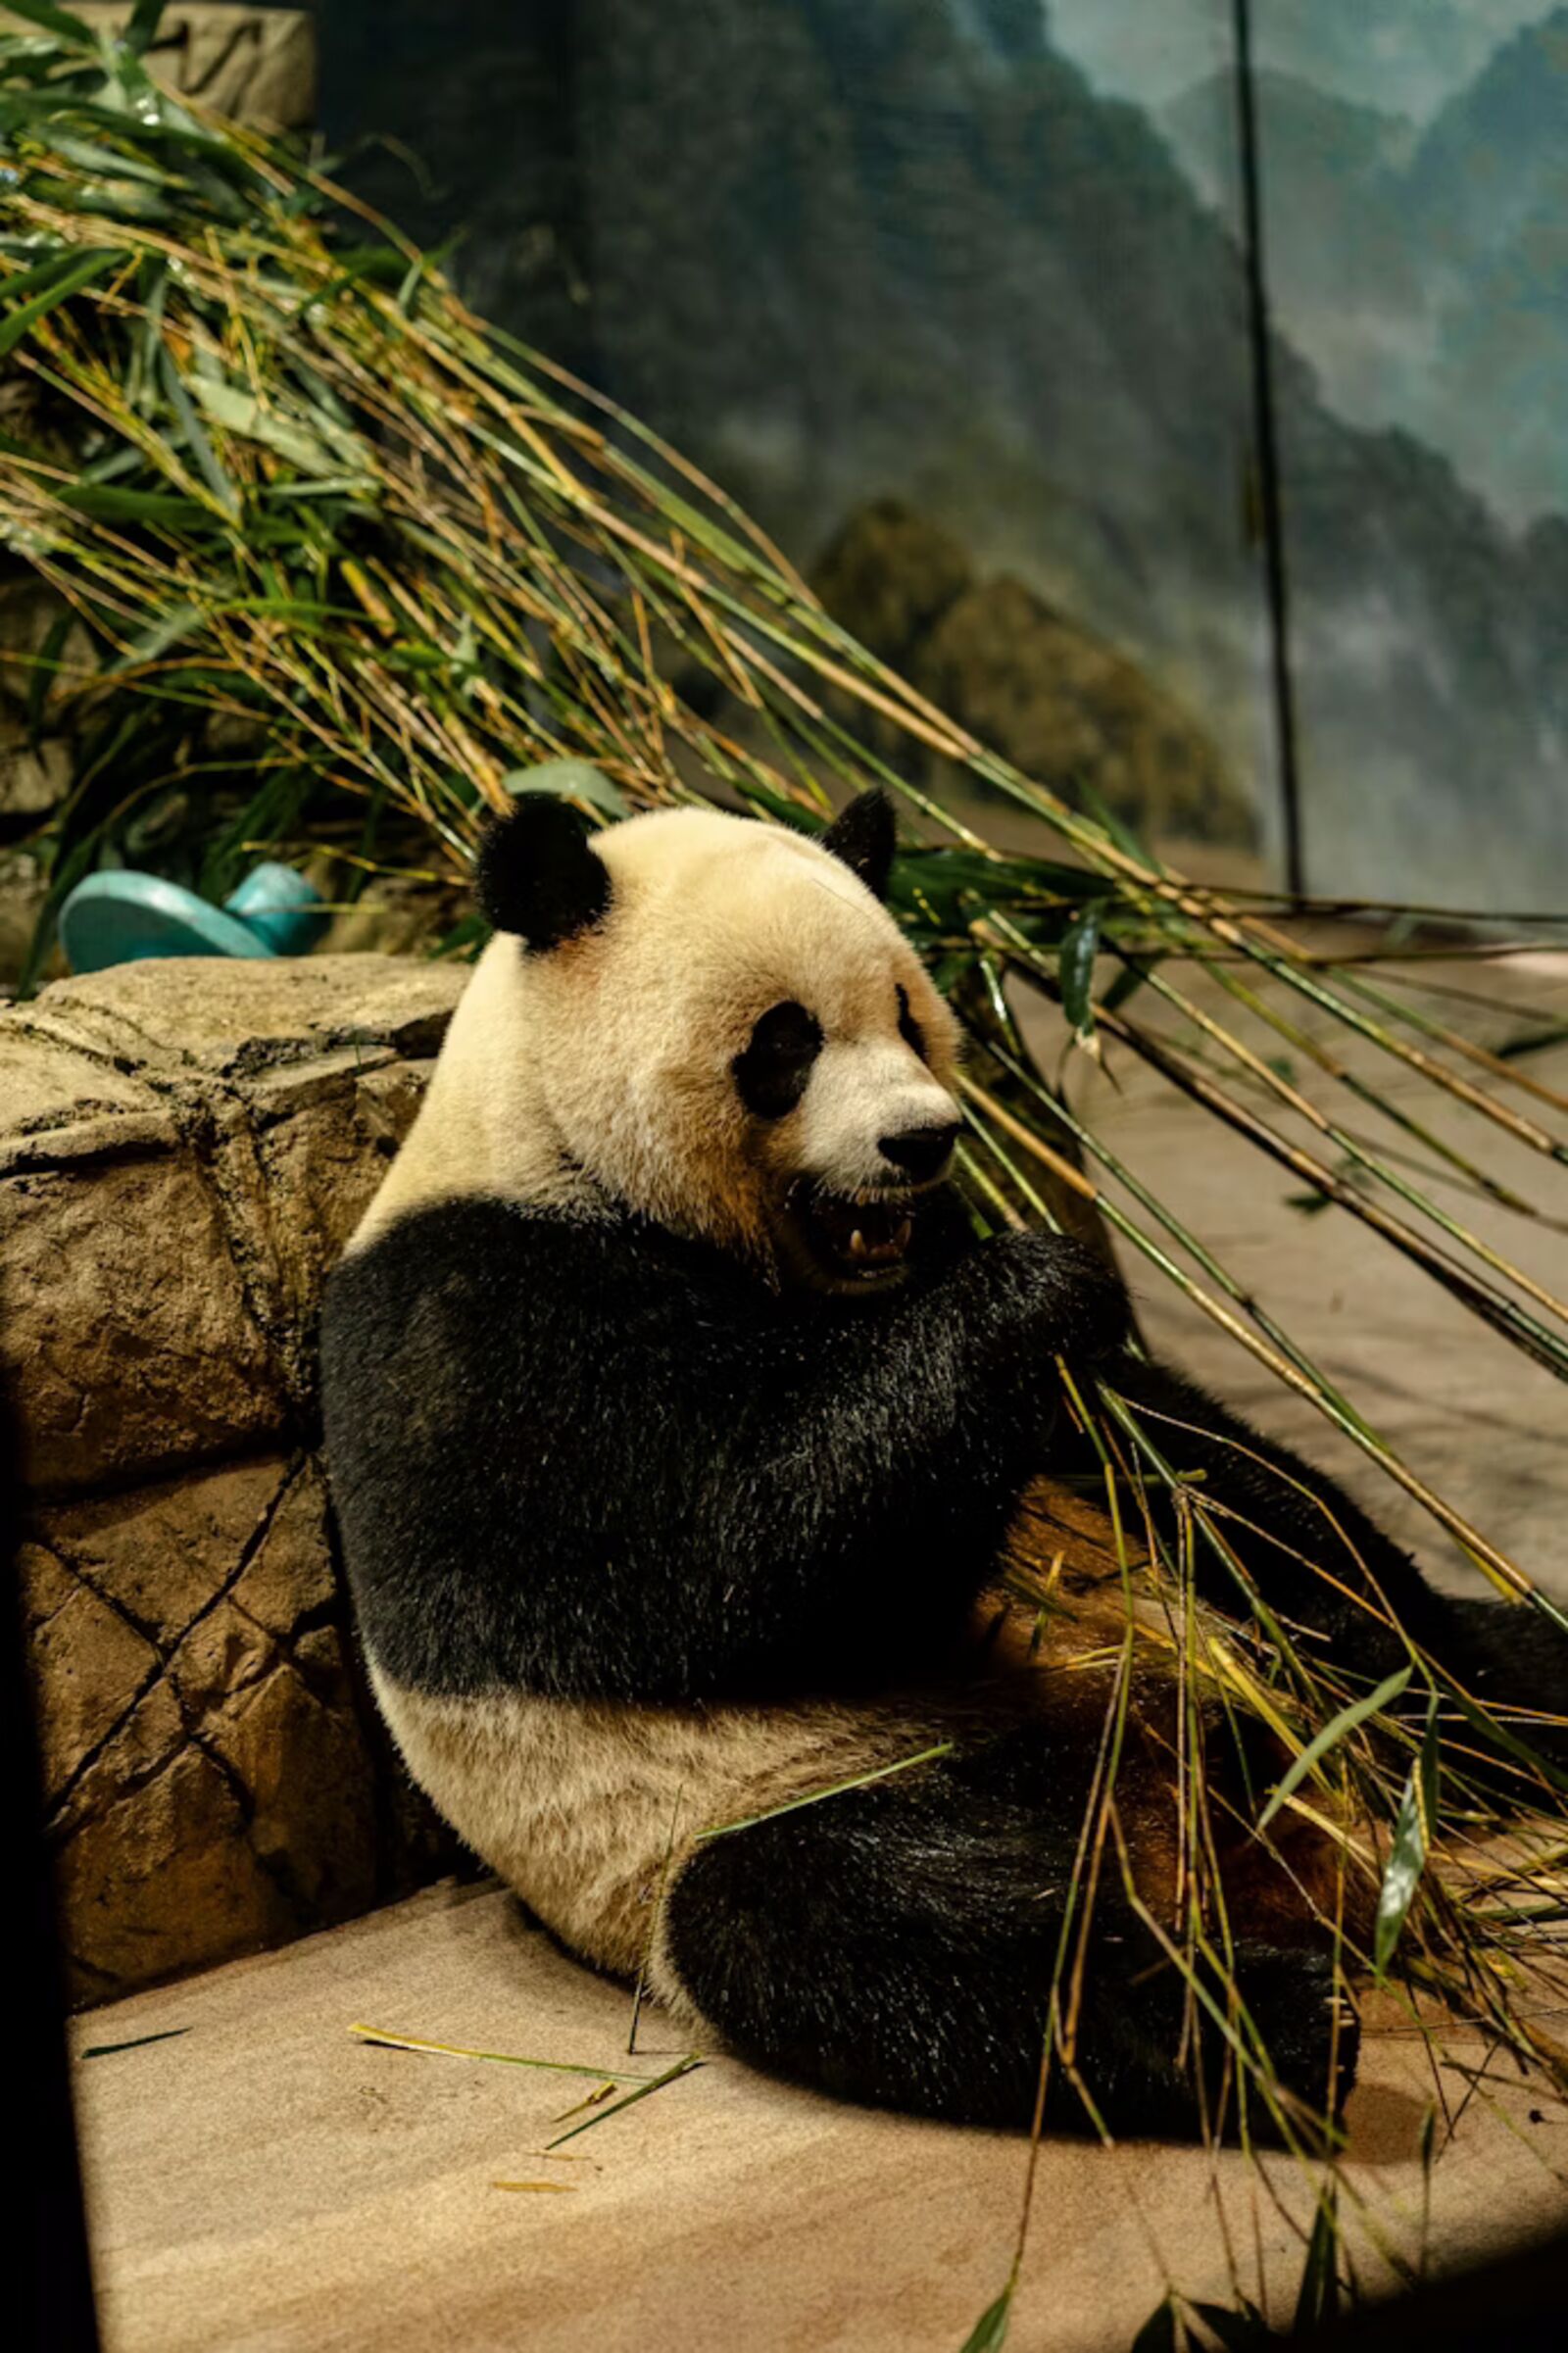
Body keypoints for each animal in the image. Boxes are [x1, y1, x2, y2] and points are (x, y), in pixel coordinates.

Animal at [320, 788, 1566, 2144]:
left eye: (909, 1013)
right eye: (786, 1041)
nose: (923, 1142)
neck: (548, 1140)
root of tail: (1215, 1844)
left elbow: (1217, 1474)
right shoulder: (486, 1324)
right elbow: (743, 1564)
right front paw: (1037, 1288)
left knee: (1386, 1634)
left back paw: (1495, 1724)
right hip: (796, 1793)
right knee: (875, 1923)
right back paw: (1273, 2023)